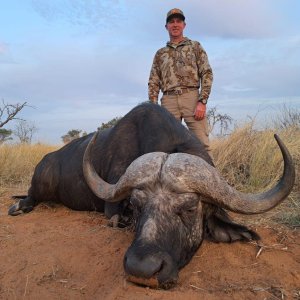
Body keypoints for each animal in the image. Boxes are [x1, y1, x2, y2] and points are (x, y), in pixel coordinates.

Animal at [8, 103, 296, 288]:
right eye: (136, 206)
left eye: (189, 208)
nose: (141, 269)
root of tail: (48, 160)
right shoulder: (113, 209)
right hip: (41, 184)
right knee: (31, 195)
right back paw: (19, 207)